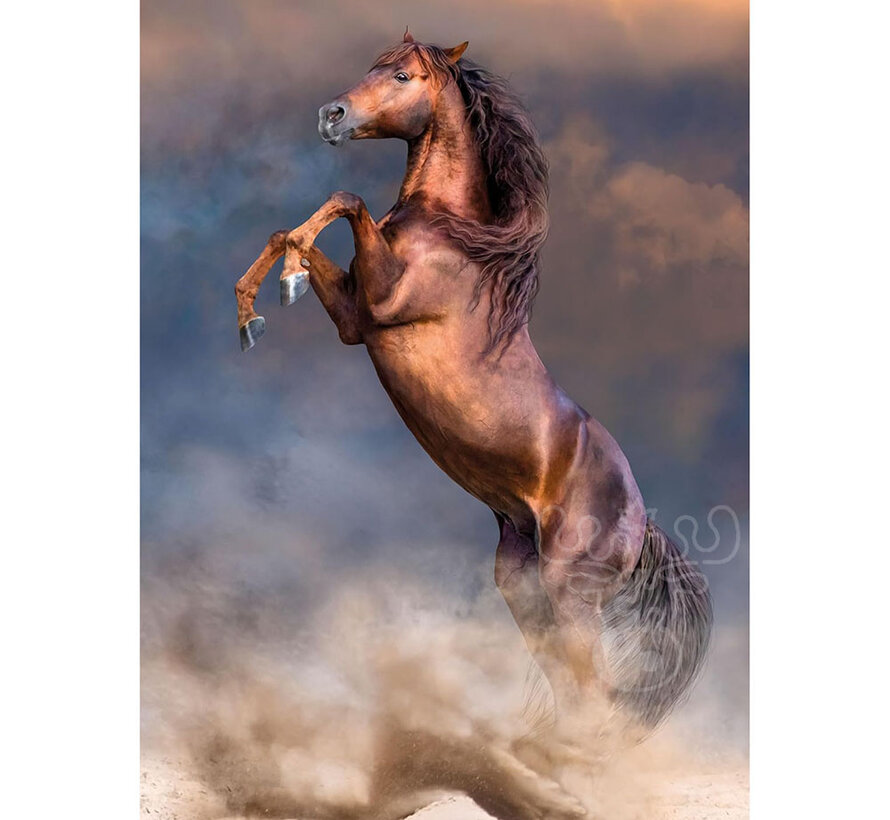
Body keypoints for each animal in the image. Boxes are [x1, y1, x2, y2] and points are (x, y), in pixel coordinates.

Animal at [234, 31, 711, 748]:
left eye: (402, 76)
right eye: (372, 67)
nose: (331, 116)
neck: (449, 234)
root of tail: (642, 519)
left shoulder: (379, 304)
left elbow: (346, 198)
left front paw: (281, 287)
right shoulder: (353, 318)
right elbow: (288, 231)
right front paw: (252, 314)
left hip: (571, 591)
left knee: (596, 694)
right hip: (524, 587)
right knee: (574, 691)